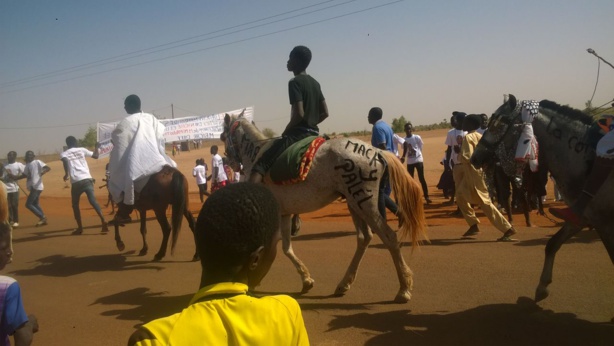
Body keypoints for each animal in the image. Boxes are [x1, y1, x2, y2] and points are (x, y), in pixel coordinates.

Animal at [223, 112, 428, 302]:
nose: (228, 161)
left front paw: (253, 279)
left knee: (389, 237)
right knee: (364, 237)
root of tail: (377, 152)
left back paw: (404, 288)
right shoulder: (285, 213)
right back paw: (344, 283)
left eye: (223, 136)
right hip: (354, 202)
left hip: (363, 202)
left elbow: (270, 247)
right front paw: (305, 280)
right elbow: (286, 248)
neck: (256, 152)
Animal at [472, 94, 614, 306]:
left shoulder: (604, 224)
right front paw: (541, 288)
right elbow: (552, 244)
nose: (474, 158)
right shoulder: (582, 217)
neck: (586, 162)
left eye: (498, 124)